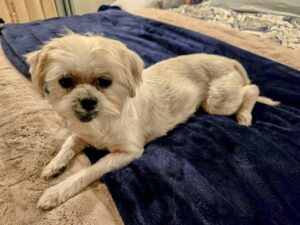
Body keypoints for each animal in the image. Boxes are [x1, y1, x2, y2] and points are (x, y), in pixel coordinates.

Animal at [25, 32, 278, 210]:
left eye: (105, 82)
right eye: (65, 81)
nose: (87, 101)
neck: (103, 121)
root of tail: (228, 60)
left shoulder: (127, 153)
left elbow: (89, 171)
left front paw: (57, 192)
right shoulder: (83, 134)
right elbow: (68, 143)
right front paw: (54, 165)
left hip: (217, 102)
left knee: (252, 89)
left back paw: (244, 115)